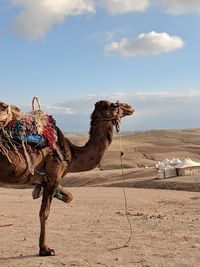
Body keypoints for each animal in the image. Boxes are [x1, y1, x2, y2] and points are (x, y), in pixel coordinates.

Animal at [0, 100, 134, 258]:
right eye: (114, 105)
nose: (130, 107)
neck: (72, 153)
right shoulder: (53, 178)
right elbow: (44, 213)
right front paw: (45, 249)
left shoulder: (47, 181)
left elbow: (69, 197)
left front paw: (53, 194)